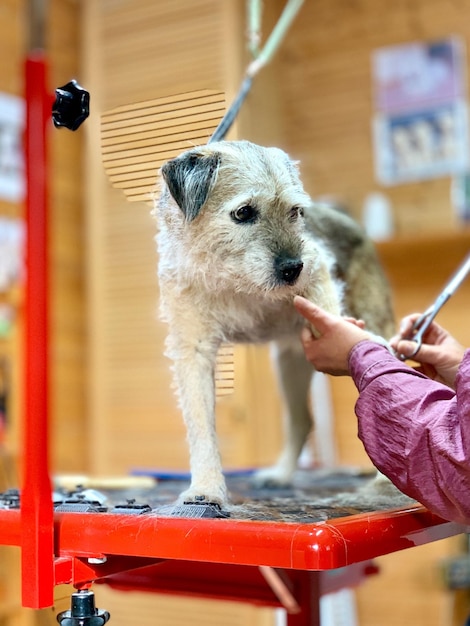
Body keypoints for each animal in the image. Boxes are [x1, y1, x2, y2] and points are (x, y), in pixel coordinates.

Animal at [152, 139, 394, 504]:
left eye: (296, 212)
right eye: (243, 212)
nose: (293, 268)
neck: (233, 278)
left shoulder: (318, 269)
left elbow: (328, 310)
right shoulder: (193, 351)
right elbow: (201, 427)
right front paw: (206, 488)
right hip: (289, 364)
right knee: (302, 421)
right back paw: (281, 474)